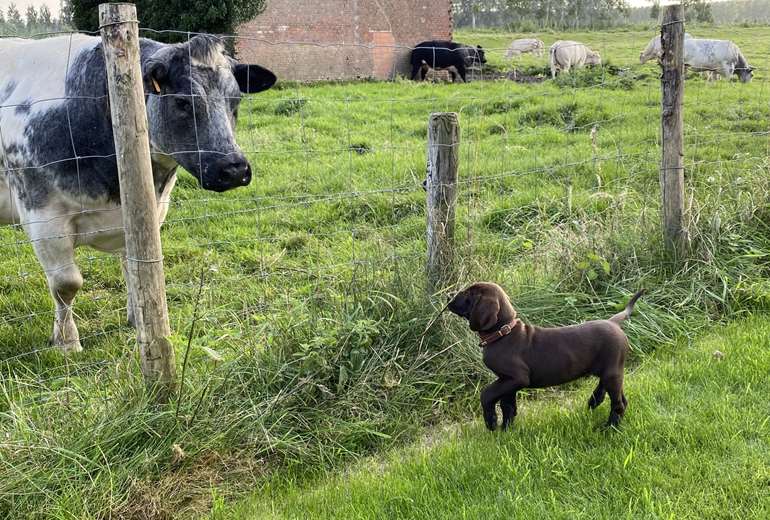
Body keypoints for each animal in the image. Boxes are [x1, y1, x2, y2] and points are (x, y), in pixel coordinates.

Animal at [0, 34, 276, 352]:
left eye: (236, 100)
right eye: (182, 102)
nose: (233, 168)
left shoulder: (150, 210)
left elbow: (135, 267)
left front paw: (139, 320)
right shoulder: (43, 215)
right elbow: (66, 284)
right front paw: (67, 343)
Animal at [444, 282, 640, 428]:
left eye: (468, 294)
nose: (447, 296)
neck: (503, 332)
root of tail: (613, 322)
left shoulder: (517, 377)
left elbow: (487, 393)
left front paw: (491, 421)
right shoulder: (507, 381)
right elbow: (507, 406)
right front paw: (505, 430)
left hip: (612, 372)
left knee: (618, 403)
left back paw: (609, 428)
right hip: (610, 371)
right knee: (620, 398)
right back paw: (596, 403)